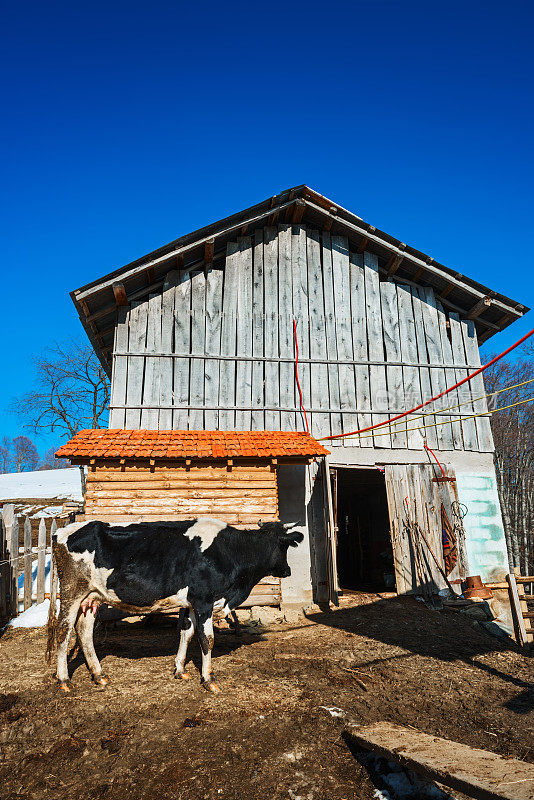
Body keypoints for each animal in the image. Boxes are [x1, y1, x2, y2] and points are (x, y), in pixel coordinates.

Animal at [46, 520, 304, 692]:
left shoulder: (190, 603)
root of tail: (61, 531)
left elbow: (186, 633)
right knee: (63, 630)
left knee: (84, 630)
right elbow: (207, 639)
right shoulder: (204, 600)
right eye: (284, 546)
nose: (287, 571)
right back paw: (64, 680)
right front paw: (209, 680)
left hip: (92, 598)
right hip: (72, 592)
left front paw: (180, 670)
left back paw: (99, 675)